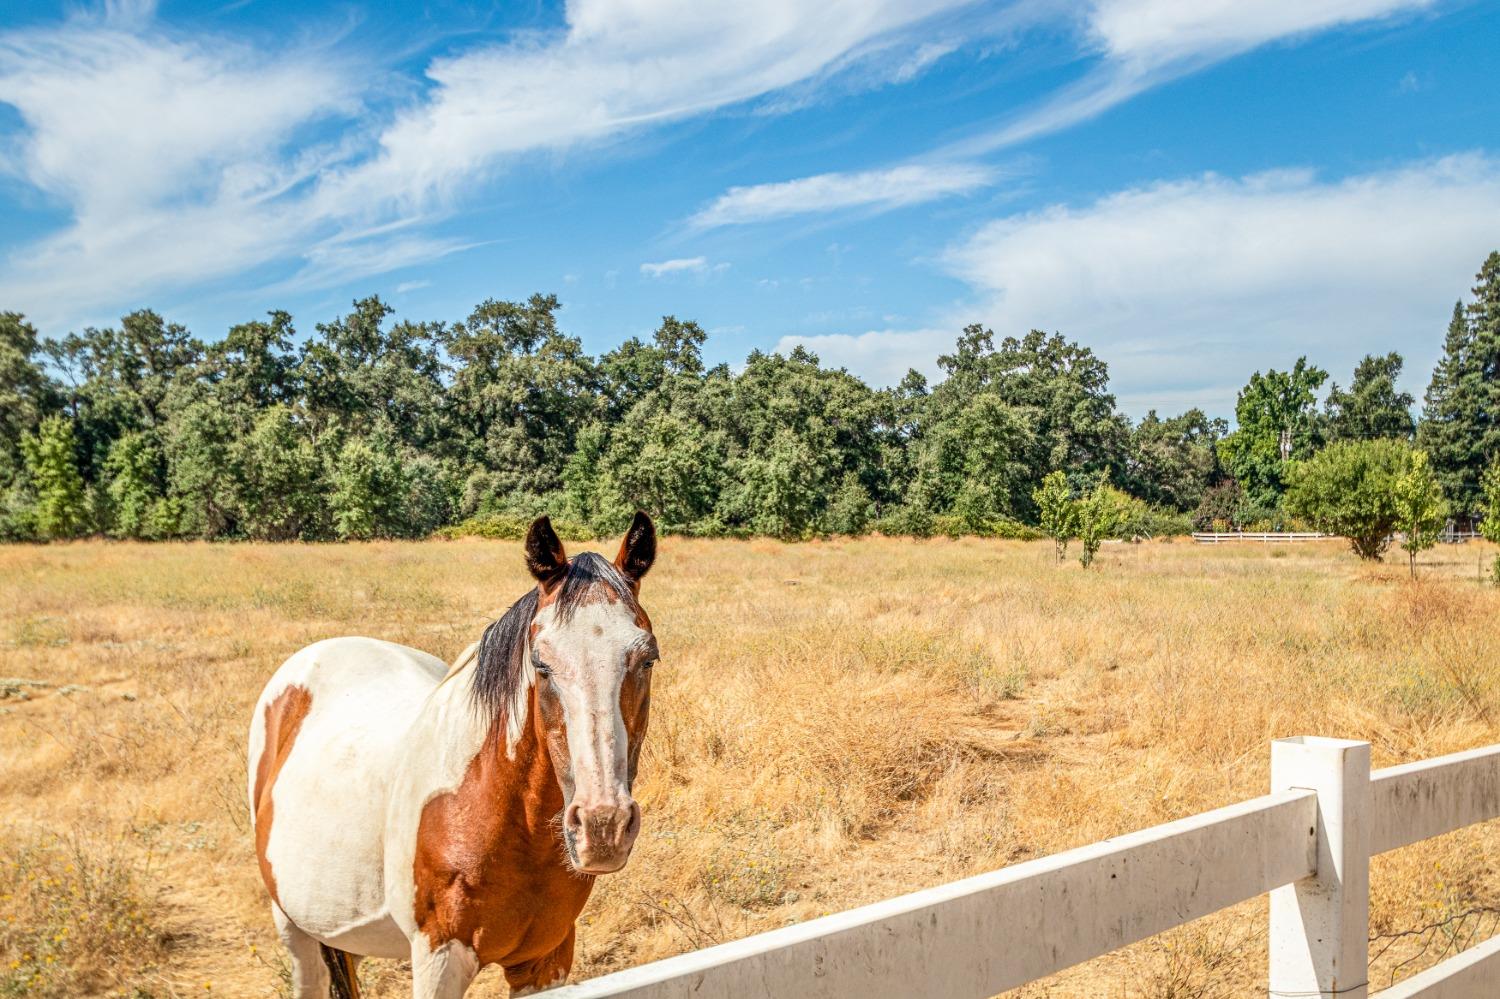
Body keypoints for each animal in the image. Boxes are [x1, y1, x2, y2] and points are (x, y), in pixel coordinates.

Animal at [249, 510, 660, 990]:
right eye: (540, 663)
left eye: (648, 659)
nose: (603, 826)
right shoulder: (439, 958)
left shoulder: (546, 959)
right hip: (294, 929)